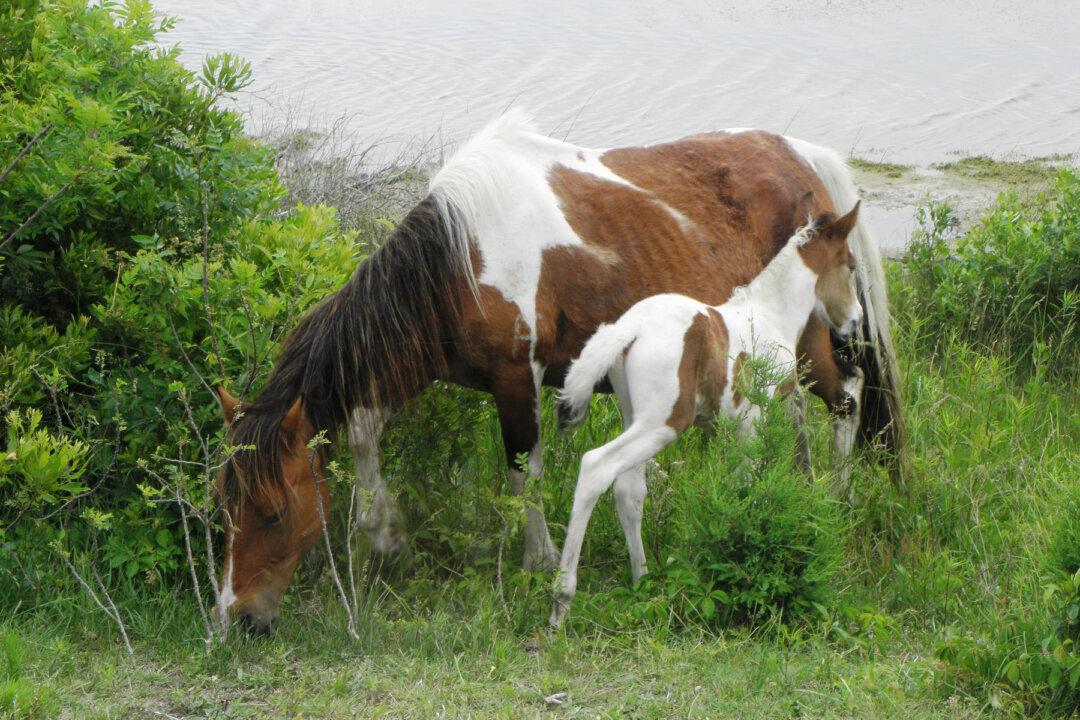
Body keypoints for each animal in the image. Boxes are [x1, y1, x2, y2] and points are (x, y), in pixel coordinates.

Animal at [548, 198, 861, 627]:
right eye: (851, 266)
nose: (856, 321)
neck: (769, 313)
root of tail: (628, 329)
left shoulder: (724, 427)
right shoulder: (752, 421)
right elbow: (750, 486)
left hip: (634, 416)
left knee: (629, 490)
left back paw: (643, 581)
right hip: (662, 423)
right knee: (596, 466)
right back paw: (561, 601)